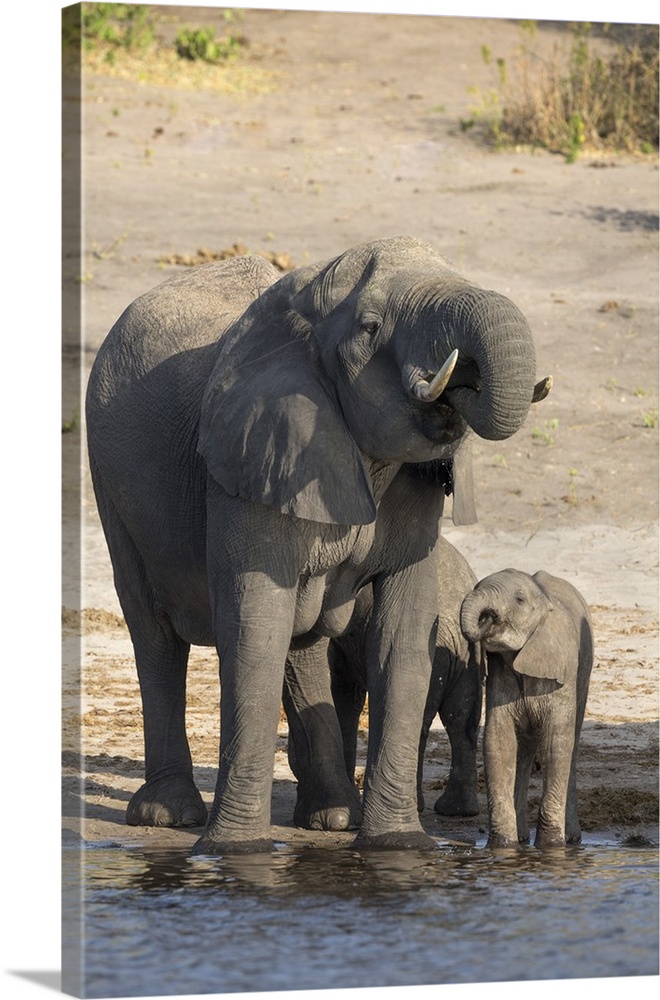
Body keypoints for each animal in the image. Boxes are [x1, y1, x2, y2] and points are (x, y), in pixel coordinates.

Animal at [85, 238, 548, 856]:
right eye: (371, 327)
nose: (461, 377)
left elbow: (402, 639)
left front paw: (399, 846)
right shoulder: (250, 462)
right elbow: (254, 628)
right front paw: (234, 853)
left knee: (301, 643)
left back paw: (332, 816)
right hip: (112, 487)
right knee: (155, 633)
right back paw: (168, 816)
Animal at [458, 572, 592, 844]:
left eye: (519, 600)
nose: (487, 617)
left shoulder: (561, 671)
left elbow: (556, 743)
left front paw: (551, 846)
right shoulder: (499, 674)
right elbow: (498, 742)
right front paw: (502, 845)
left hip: (583, 671)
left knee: (571, 743)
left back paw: (572, 839)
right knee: (524, 748)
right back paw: (521, 839)